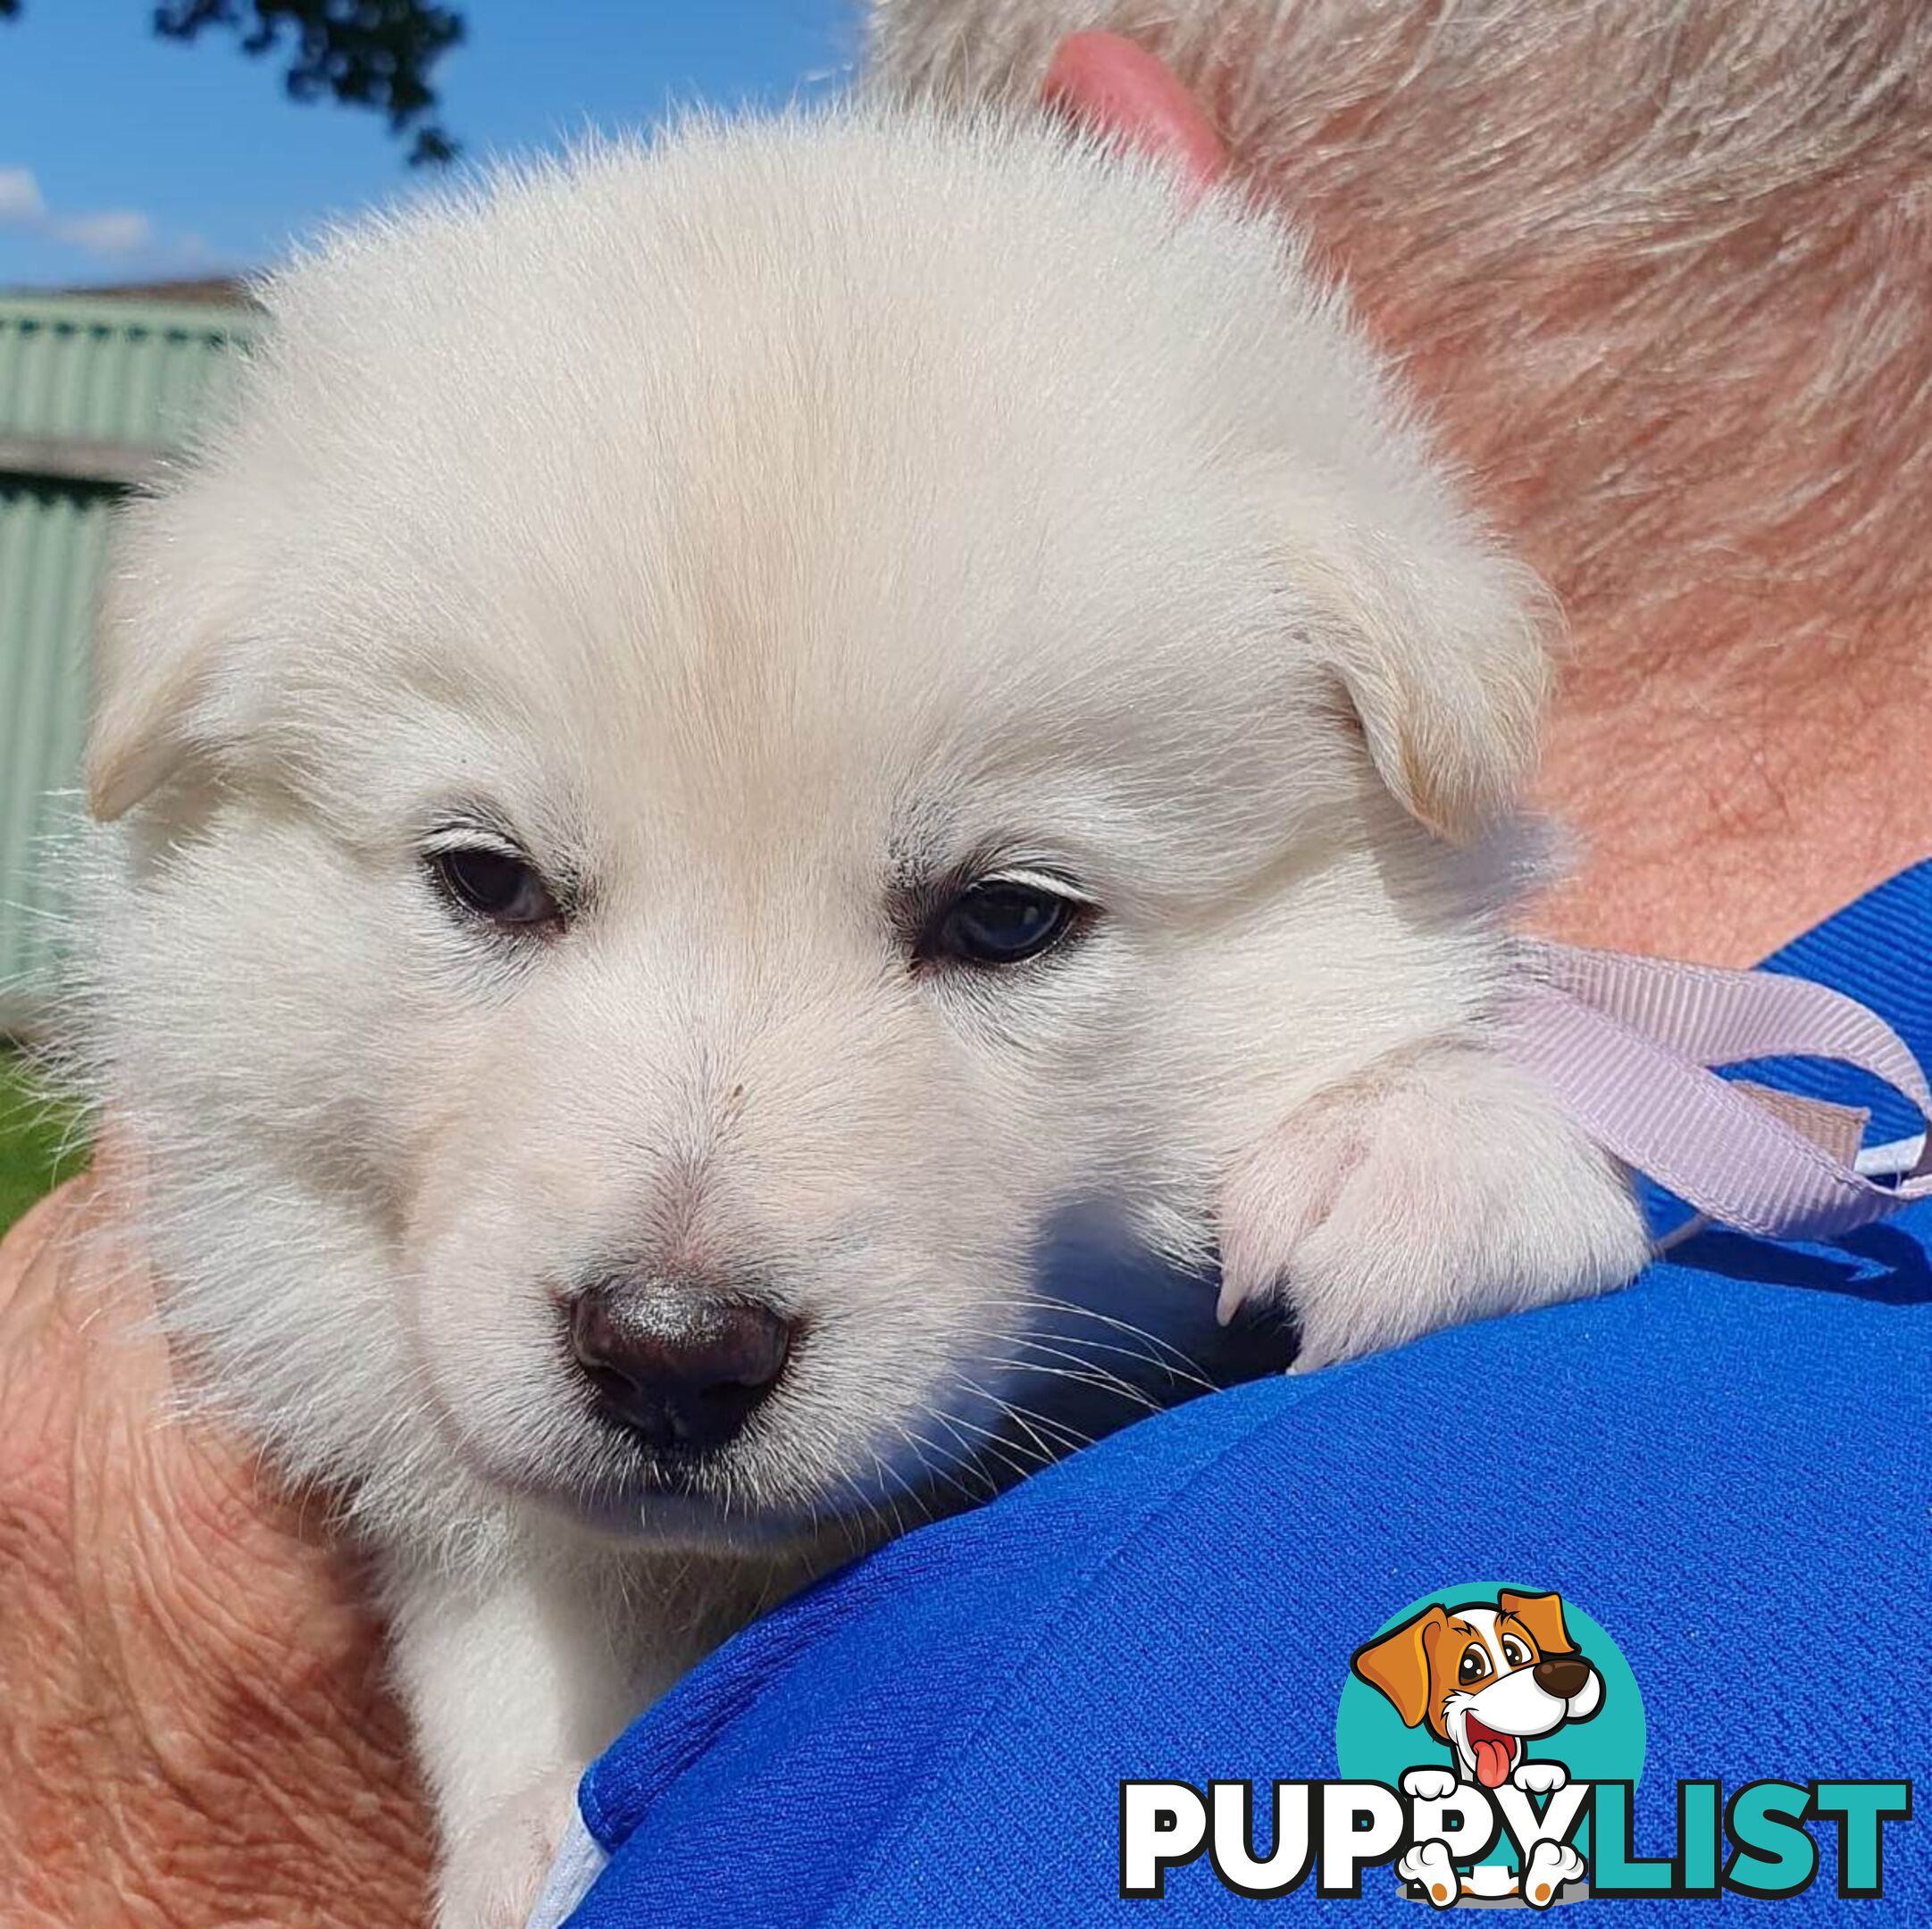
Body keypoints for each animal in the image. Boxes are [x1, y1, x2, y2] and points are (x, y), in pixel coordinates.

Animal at [75, 109, 1645, 1929]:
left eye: (1006, 917)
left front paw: (1426, 1143)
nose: (670, 1353)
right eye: (487, 879)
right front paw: (539, 1820)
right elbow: (511, 1581)